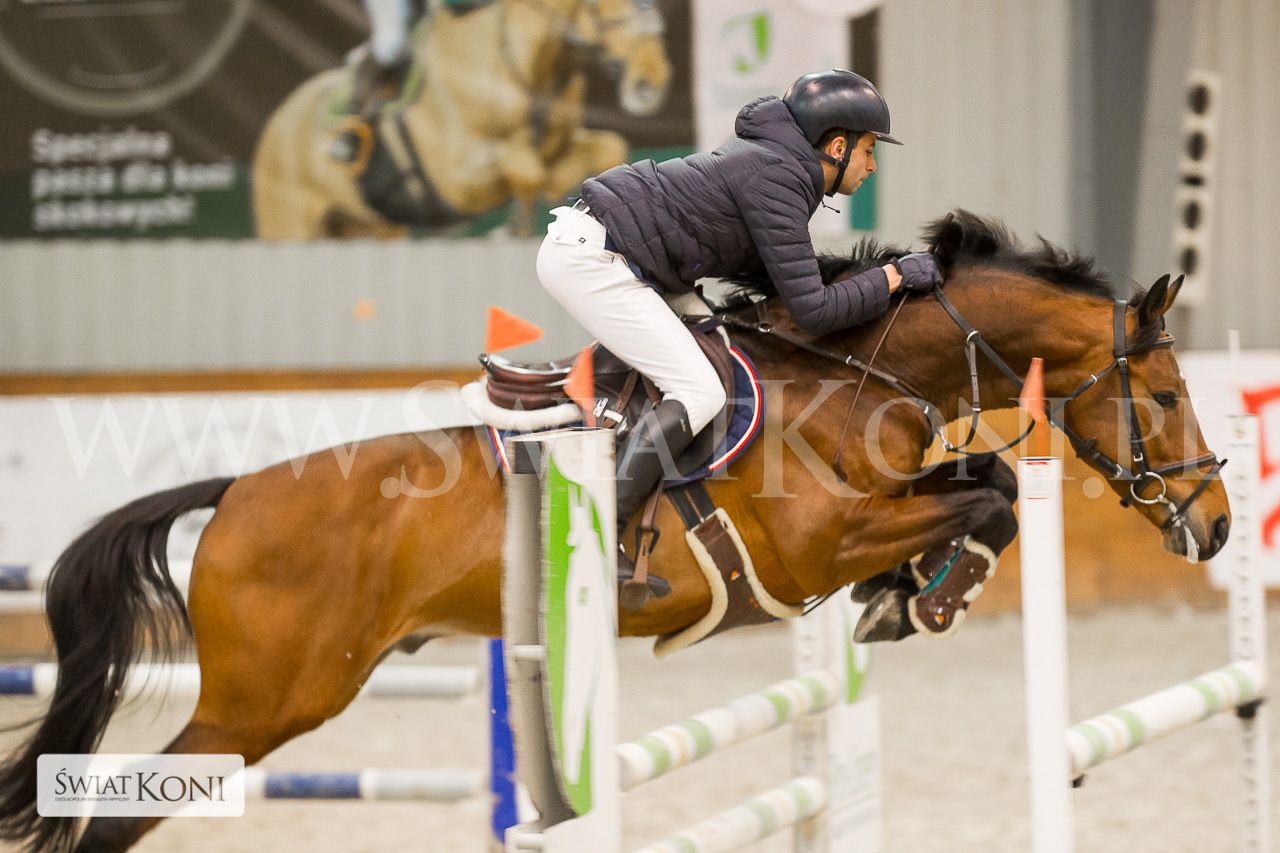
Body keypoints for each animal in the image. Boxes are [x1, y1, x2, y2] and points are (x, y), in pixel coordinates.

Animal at [0, 212, 1230, 851]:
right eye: (1167, 394)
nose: (1217, 526)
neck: (846, 377)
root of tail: (236, 490)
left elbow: (989, 480)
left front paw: (915, 590)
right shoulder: (813, 547)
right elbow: (983, 495)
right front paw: (923, 590)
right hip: (263, 703)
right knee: (112, 819)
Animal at [251, 0, 671, 239]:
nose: (652, 82)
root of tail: (274, 126)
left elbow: (607, 147)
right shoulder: (455, 182)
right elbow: (527, 169)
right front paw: (515, 225)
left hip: (369, 228)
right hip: (289, 226)